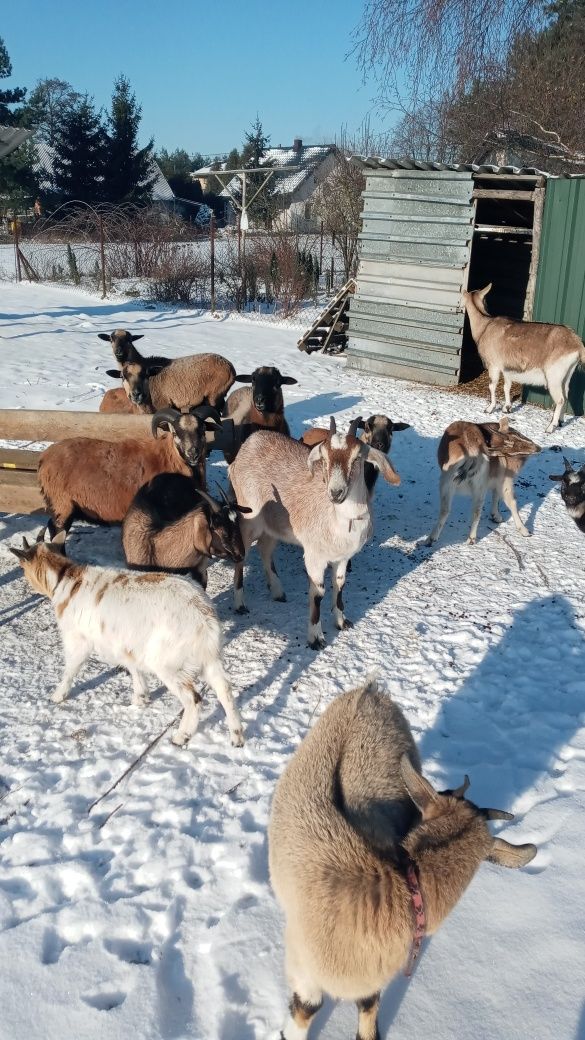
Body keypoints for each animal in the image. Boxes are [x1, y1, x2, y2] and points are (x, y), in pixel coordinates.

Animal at [9, 536, 241, 748]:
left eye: (21, 567)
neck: (65, 578)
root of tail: (204, 616)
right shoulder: (127, 643)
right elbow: (134, 667)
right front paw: (141, 698)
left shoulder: (78, 639)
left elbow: (71, 669)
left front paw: (57, 696)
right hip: (208, 660)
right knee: (225, 690)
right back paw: (237, 736)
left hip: (168, 664)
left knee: (193, 699)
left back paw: (181, 736)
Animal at [225, 416, 397, 644]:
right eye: (323, 458)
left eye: (357, 458)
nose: (336, 492)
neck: (339, 520)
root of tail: (250, 442)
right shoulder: (315, 556)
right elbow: (318, 594)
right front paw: (316, 638)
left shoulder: (343, 557)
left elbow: (340, 585)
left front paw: (342, 622)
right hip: (249, 516)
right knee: (242, 557)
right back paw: (239, 604)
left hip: (274, 524)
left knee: (265, 548)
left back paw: (277, 591)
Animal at [268, 673, 532, 1040]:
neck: (389, 891)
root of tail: (369, 691)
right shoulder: (302, 968)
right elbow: (305, 1010)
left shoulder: (370, 978)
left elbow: (368, 1011)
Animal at [422, 416, 537, 549]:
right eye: (516, 435)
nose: (538, 448)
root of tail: (472, 453)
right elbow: (500, 496)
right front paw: (497, 516)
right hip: (477, 485)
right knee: (475, 510)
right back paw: (470, 539)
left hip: (448, 482)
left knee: (447, 510)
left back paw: (432, 539)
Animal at [460, 282, 582, 432]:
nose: (459, 306)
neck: (485, 326)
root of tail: (577, 343)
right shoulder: (506, 367)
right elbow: (507, 386)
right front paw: (507, 408)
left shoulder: (494, 364)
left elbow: (492, 385)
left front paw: (489, 408)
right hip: (567, 374)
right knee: (566, 393)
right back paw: (560, 421)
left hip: (554, 375)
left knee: (560, 399)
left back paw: (550, 427)